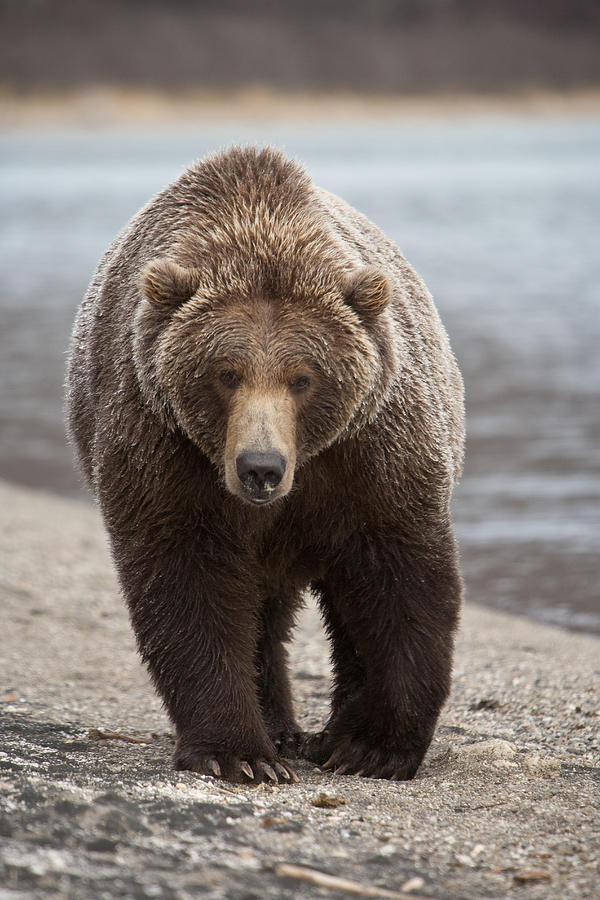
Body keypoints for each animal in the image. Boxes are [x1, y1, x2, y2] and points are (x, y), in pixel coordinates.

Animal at [68, 144, 466, 784]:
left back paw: (328, 735)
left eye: (303, 378)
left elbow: (398, 581)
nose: (260, 467)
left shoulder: (369, 455)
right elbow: (188, 583)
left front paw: (374, 747)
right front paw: (239, 752)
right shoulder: (166, 451)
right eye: (225, 373)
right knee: (261, 615)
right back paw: (279, 731)